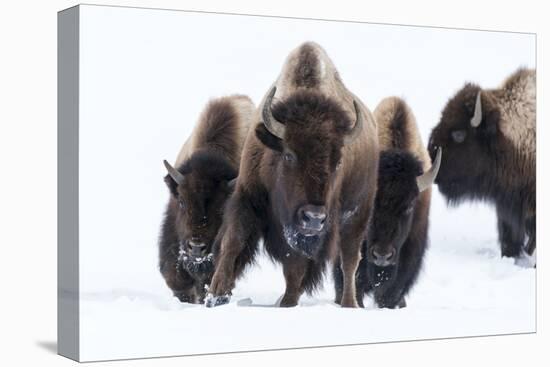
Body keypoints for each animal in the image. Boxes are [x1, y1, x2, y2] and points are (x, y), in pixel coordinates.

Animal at [206, 41, 380, 310]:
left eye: (338, 161)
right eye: (289, 155)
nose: (314, 218)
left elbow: (296, 267)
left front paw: (287, 304)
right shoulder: (247, 194)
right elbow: (234, 240)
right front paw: (216, 294)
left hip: (357, 214)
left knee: (350, 259)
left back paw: (349, 304)